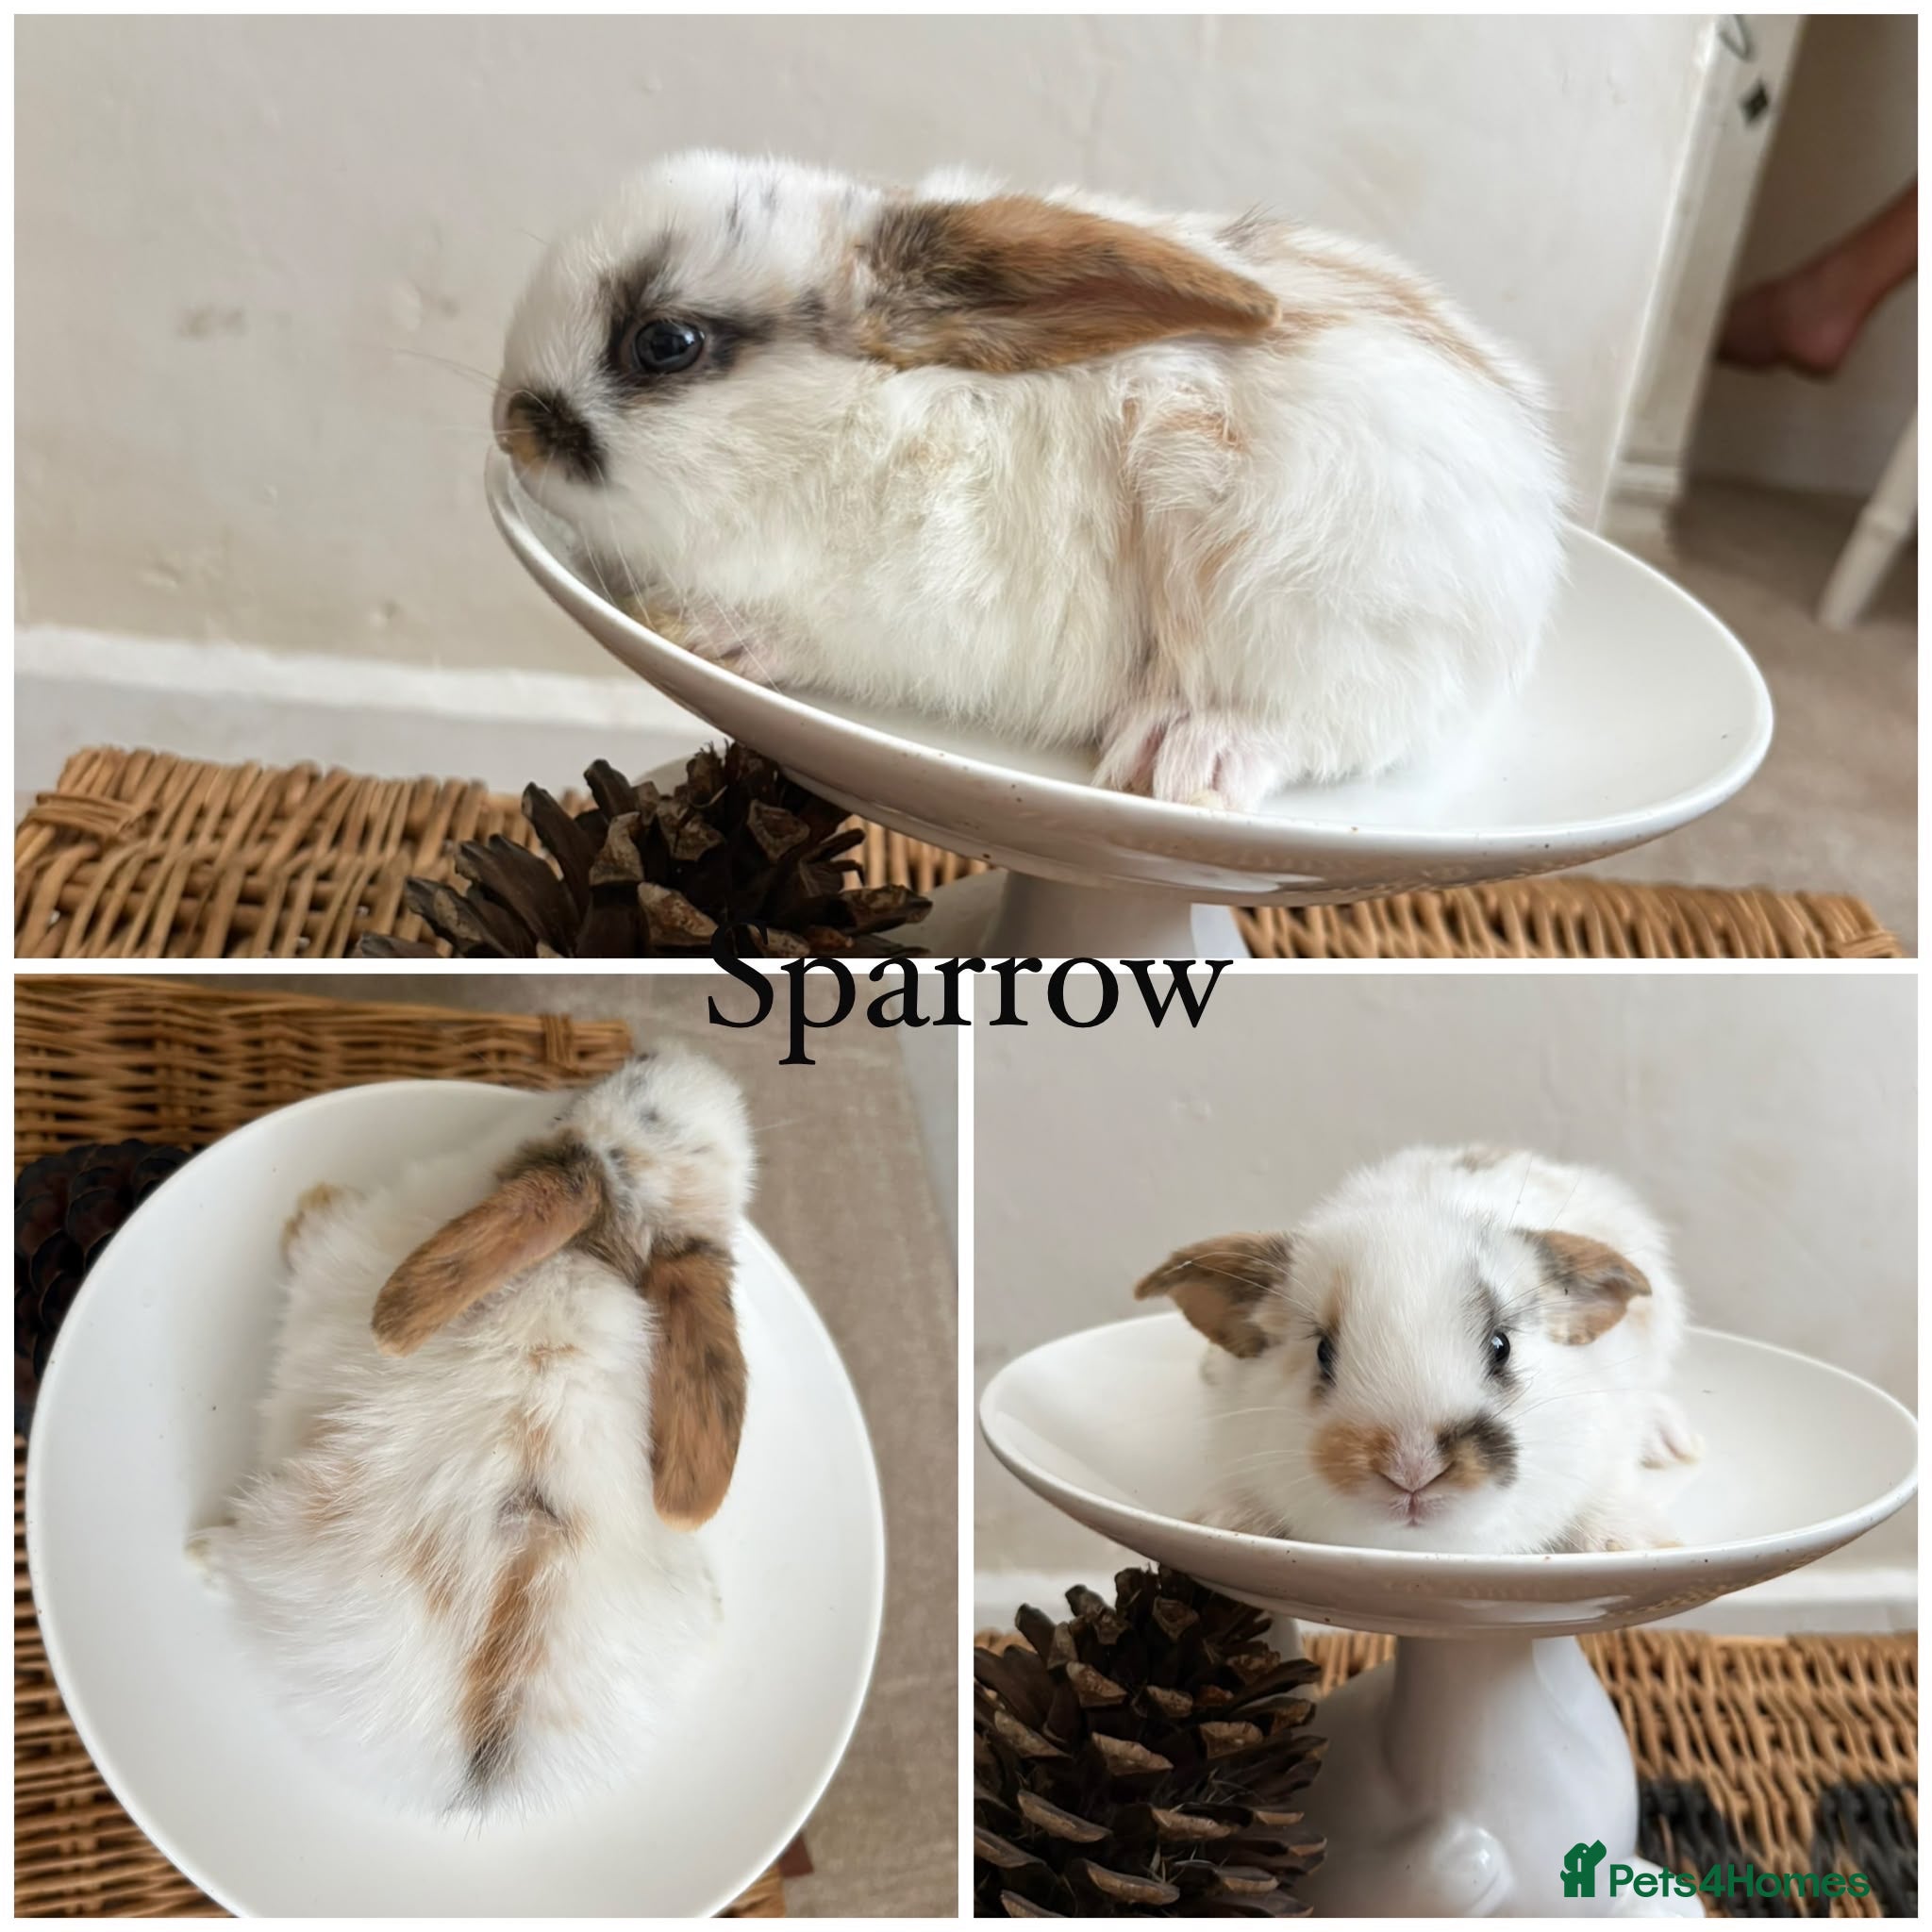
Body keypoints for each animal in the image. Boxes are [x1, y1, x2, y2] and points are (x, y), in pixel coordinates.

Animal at [187, 1051, 753, 1820]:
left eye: (569, 1109)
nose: (653, 1054)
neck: (584, 1255)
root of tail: (478, 1767)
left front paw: (307, 1209)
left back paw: (199, 1550)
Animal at [494, 150, 1565, 811]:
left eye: (664, 344)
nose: (511, 430)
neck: (846, 426)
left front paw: (706, 630)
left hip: (1313, 613)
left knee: (1319, 724)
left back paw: (1181, 751)